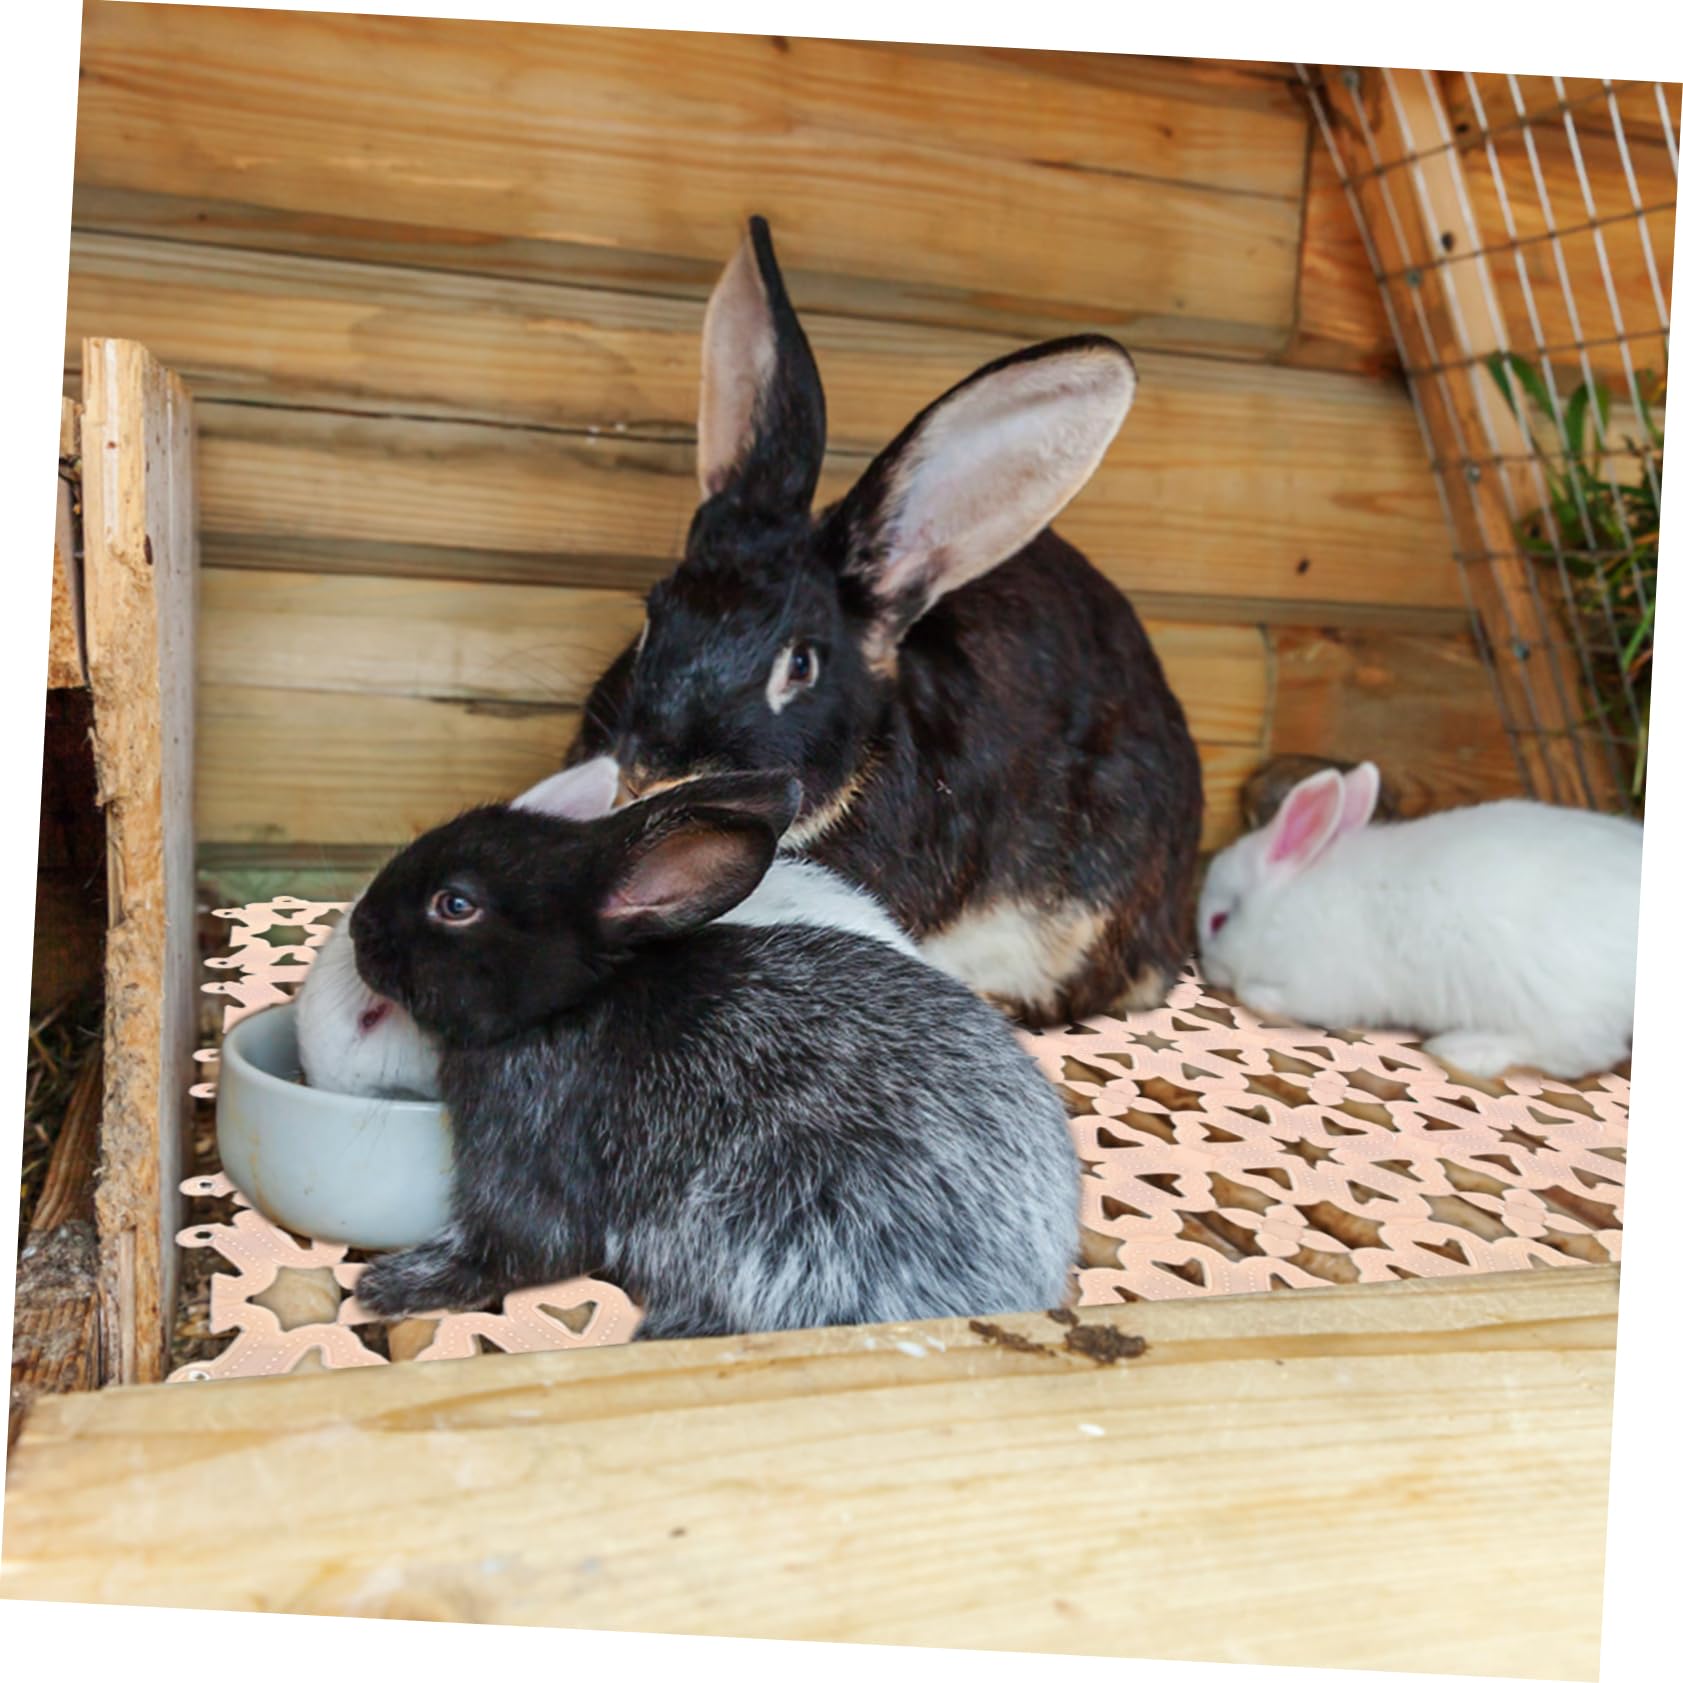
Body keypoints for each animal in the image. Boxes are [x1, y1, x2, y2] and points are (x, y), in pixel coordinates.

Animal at [344, 757, 1084, 1339]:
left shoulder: (530, 1155)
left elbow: (519, 1248)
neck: (572, 1004)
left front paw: (389, 1286)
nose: (359, 928)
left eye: (455, 904)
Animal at [1197, 761, 1642, 1081]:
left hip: (1554, 1003)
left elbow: (1274, 996)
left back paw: (1463, 1049)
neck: (1281, 906)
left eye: (1219, 921)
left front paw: (1257, 995)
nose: (1209, 970)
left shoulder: (1322, 984)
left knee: (1577, 1051)